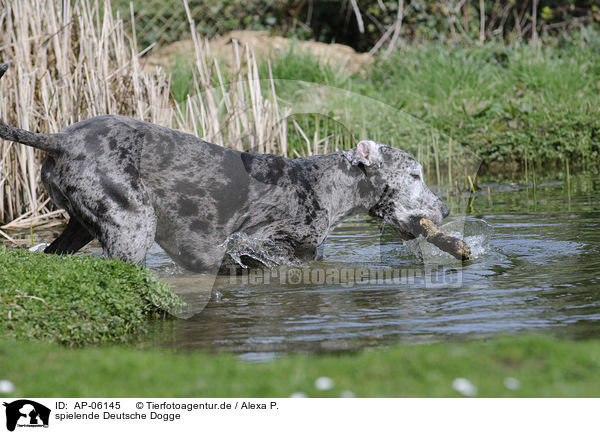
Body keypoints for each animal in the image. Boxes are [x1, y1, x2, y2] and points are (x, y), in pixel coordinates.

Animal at [0, 64, 448, 272]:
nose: (444, 209)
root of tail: (62, 139)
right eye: (415, 175)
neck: (323, 184)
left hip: (80, 224)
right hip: (132, 225)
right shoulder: (266, 243)